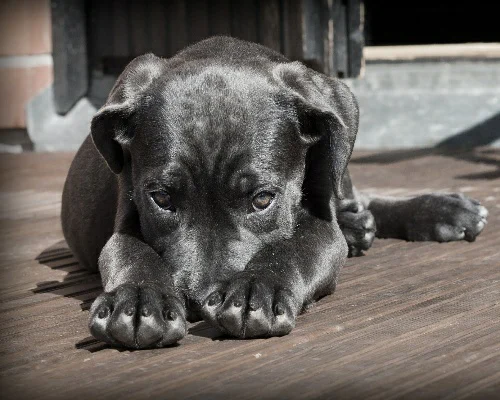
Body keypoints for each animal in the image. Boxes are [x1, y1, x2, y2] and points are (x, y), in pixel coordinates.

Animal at [59, 38, 488, 350]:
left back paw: (440, 210)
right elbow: (131, 253)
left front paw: (255, 289)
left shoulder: (321, 226)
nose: (197, 301)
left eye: (263, 199)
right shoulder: (126, 215)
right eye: (161, 199)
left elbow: (294, 248)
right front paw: (137, 300)